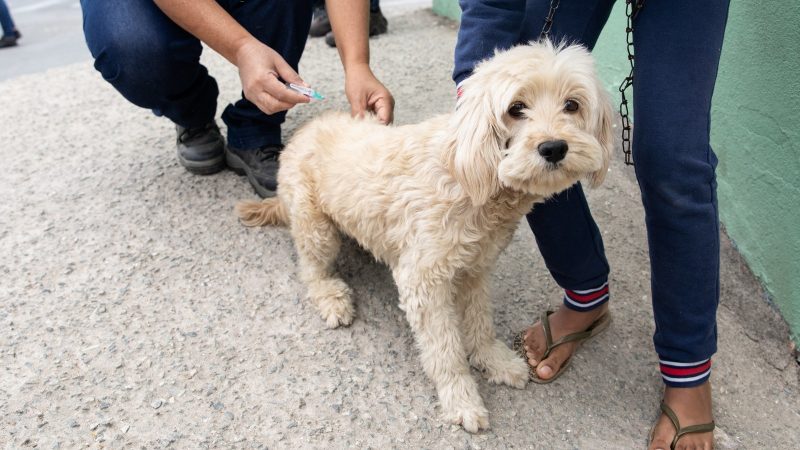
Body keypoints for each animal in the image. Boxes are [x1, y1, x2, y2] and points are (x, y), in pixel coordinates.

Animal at [236, 41, 612, 432]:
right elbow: (445, 351)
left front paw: (493, 359)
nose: (554, 147)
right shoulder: (423, 281)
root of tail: (305, 130)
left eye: (572, 104)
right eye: (516, 109)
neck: (470, 175)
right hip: (316, 228)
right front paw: (461, 398)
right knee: (311, 270)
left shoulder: (475, 269)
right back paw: (331, 297)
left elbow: (480, 321)